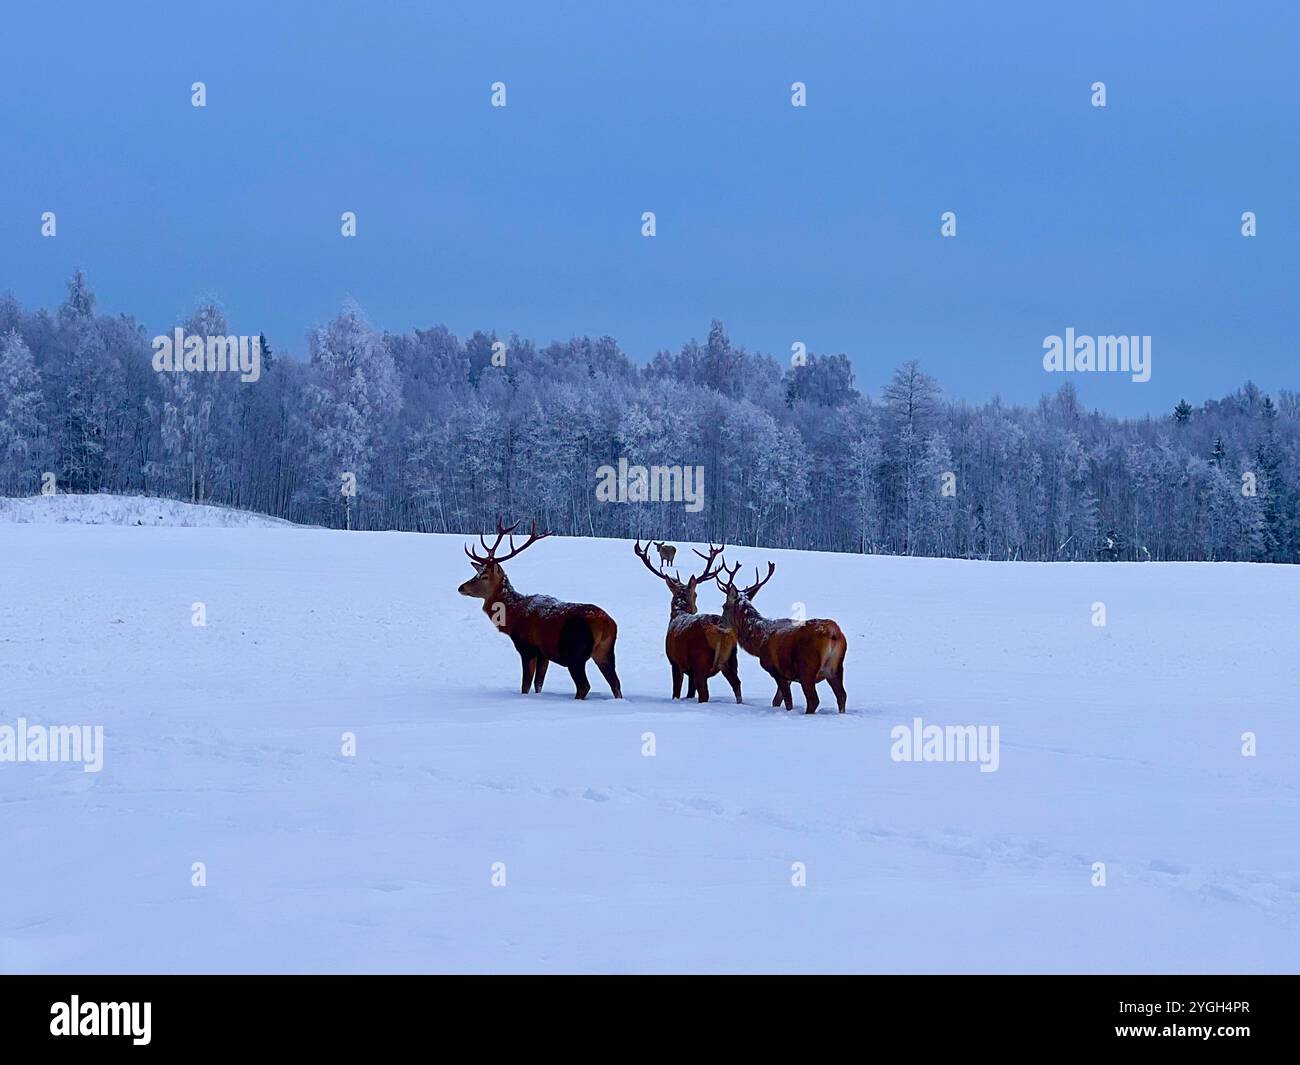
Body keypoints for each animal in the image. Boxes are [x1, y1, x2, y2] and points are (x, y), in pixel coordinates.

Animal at [631, 538, 738, 702]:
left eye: (696, 594)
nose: (695, 608)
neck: (678, 612)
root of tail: (720, 631)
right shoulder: (690, 671)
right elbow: (689, 692)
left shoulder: (675, 662)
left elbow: (676, 691)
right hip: (731, 659)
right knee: (737, 685)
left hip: (700, 659)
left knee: (704, 693)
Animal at [717, 559, 847, 717]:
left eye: (724, 606)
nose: (718, 623)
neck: (759, 642)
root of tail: (833, 633)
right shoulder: (787, 675)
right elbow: (776, 701)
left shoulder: (776, 670)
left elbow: (788, 702)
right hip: (836, 667)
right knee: (842, 695)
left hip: (807, 667)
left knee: (813, 700)